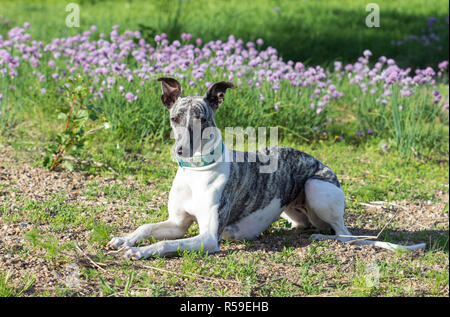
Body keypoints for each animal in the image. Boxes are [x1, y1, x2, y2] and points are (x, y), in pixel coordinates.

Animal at [107, 77, 428, 260]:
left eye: (202, 119)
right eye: (175, 118)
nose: (181, 151)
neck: (196, 172)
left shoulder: (209, 238)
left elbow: (163, 245)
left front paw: (138, 250)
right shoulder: (177, 223)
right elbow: (146, 226)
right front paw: (125, 238)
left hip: (316, 186)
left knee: (345, 235)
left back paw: (324, 238)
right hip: (293, 208)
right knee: (305, 225)